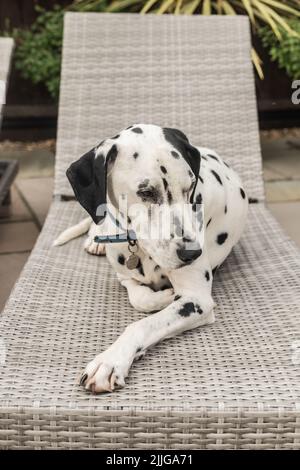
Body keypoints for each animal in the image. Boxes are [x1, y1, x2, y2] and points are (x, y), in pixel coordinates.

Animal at [54, 124, 248, 392]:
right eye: (146, 192)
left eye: (190, 186)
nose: (193, 253)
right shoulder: (123, 275)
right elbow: (138, 298)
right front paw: (162, 297)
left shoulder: (198, 301)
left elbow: (143, 323)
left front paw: (110, 360)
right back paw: (95, 239)